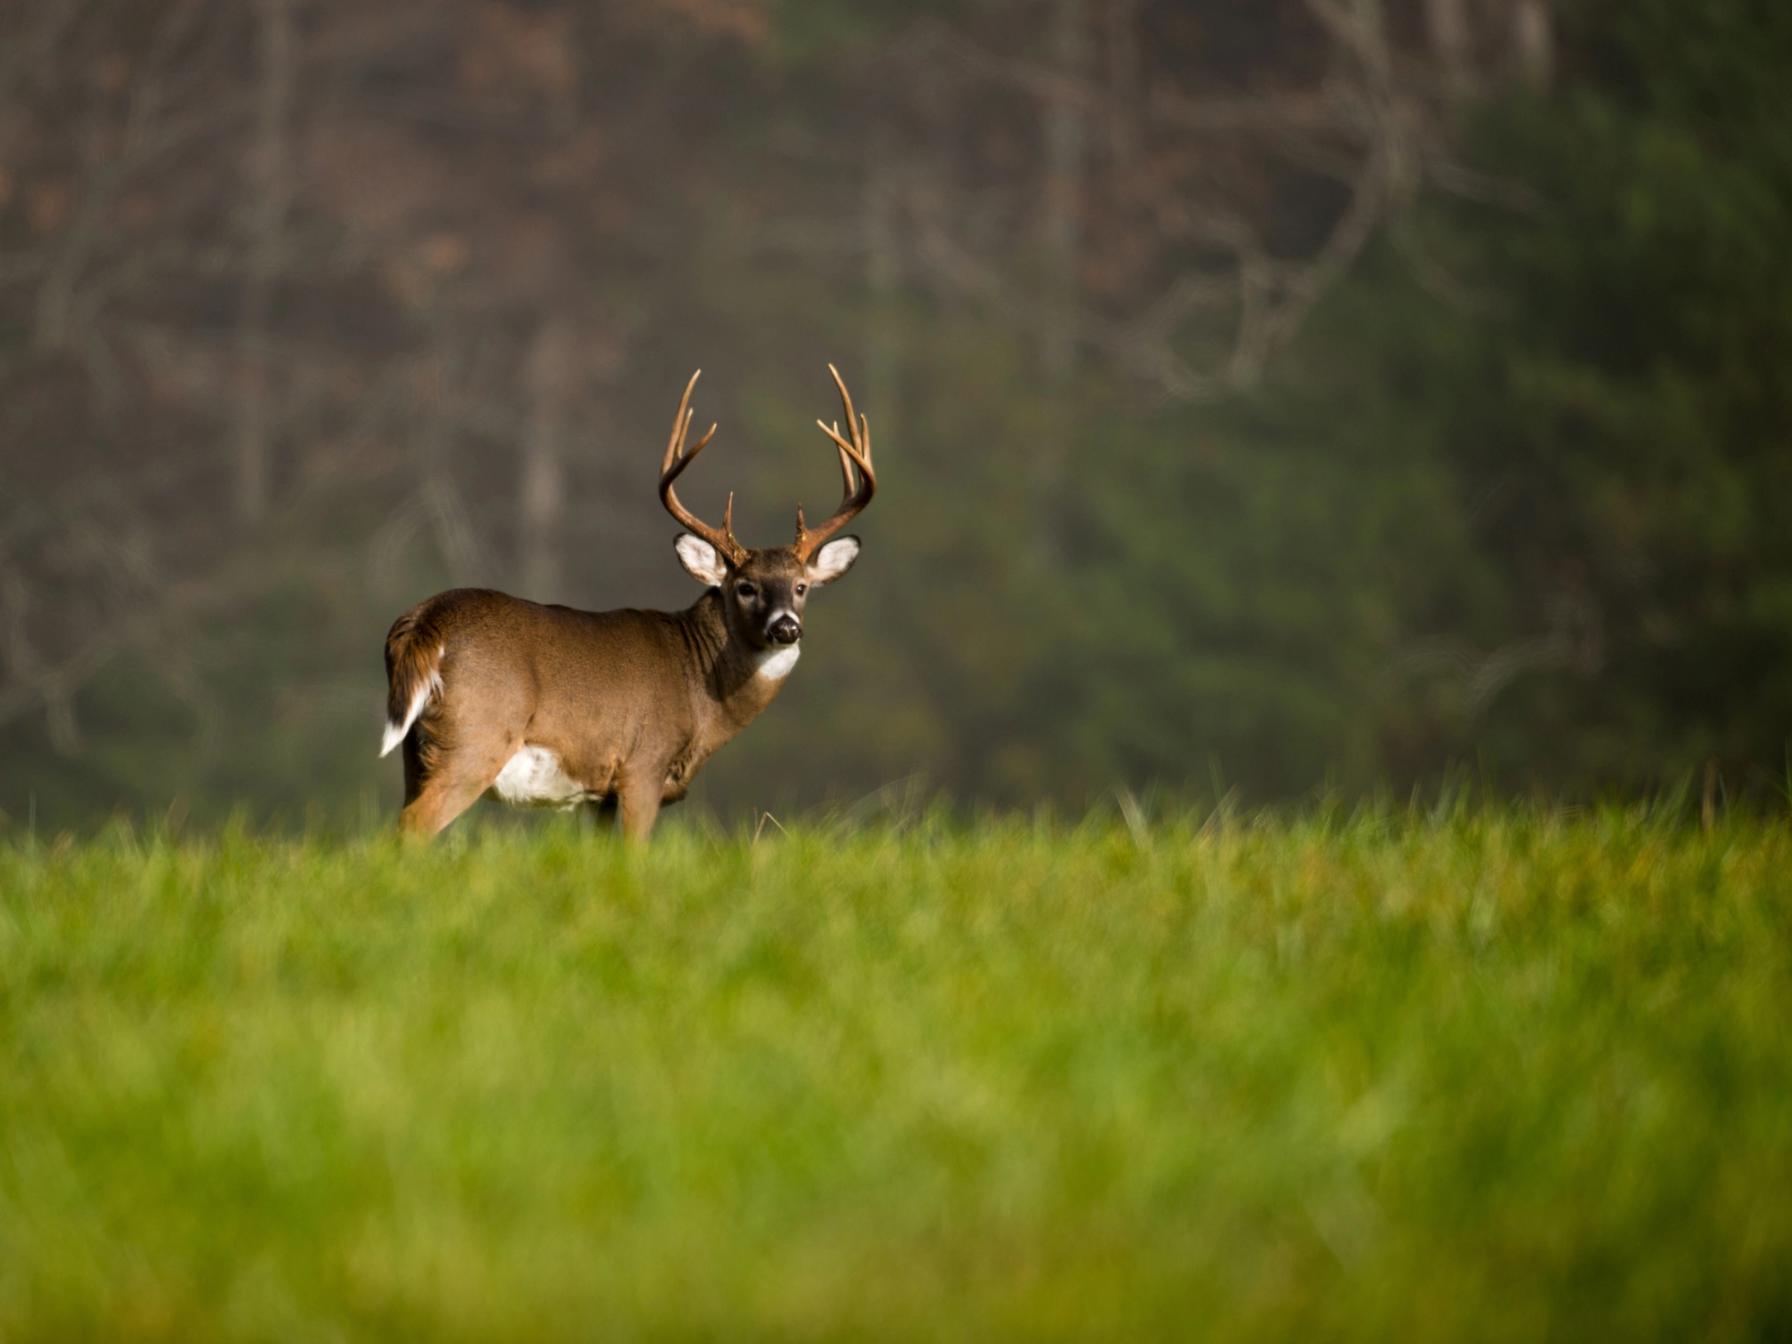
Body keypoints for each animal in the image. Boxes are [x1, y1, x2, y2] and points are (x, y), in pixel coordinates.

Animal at [377, 365, 876, 841]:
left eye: (801, 586)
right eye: (745, 587)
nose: (785, 626)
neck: (699, 692)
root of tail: (424, 621)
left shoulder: (599, 793)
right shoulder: (642, 766)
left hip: (415, 753)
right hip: (475, 738)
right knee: (413, 825)